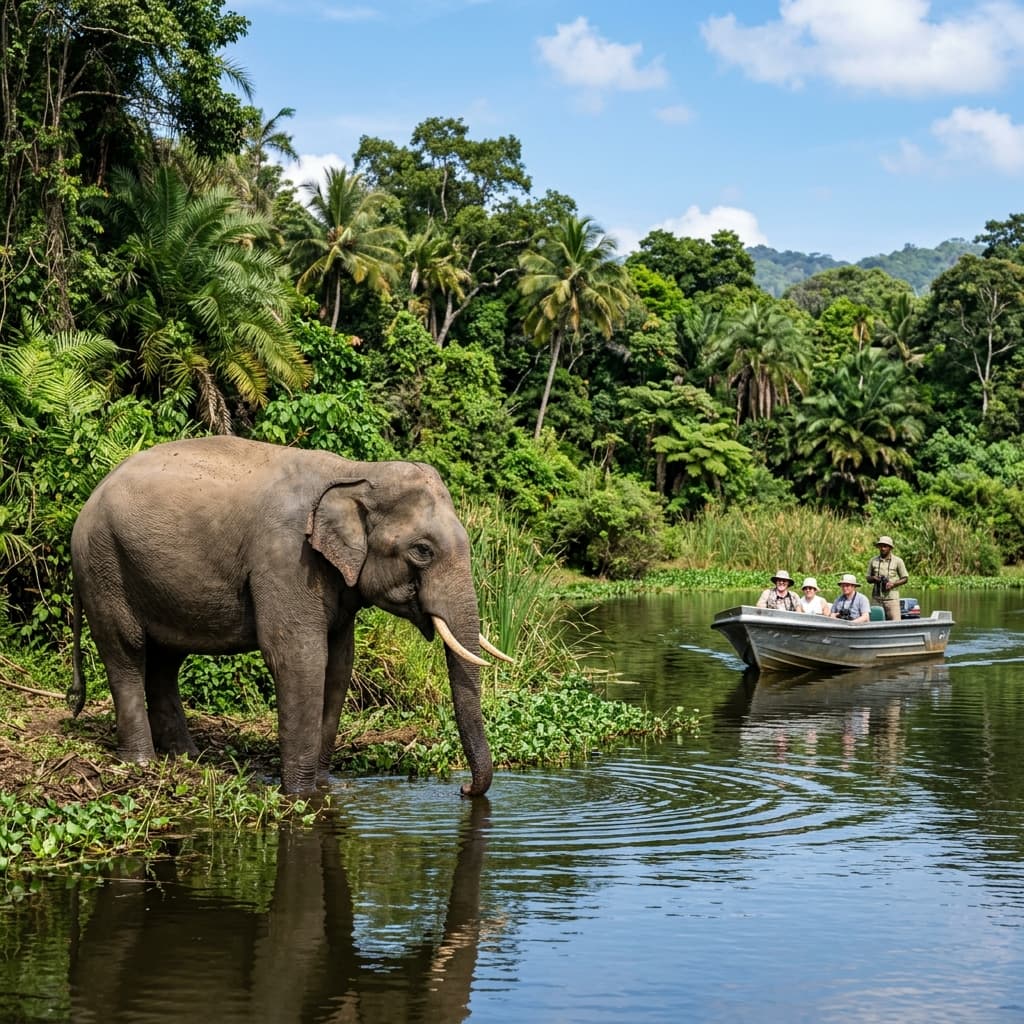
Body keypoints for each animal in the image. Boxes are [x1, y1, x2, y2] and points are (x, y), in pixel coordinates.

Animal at [68, 436, 511, 795]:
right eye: (422, 550)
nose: (463, 790)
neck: (355, 471)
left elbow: (339, 665)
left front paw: (326, 785)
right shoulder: (285, 558)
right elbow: (299, 658)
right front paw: (300, 794)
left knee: (165, 661)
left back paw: (186, 758)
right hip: (103, 566)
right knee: (127, 651)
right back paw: (141, 762)